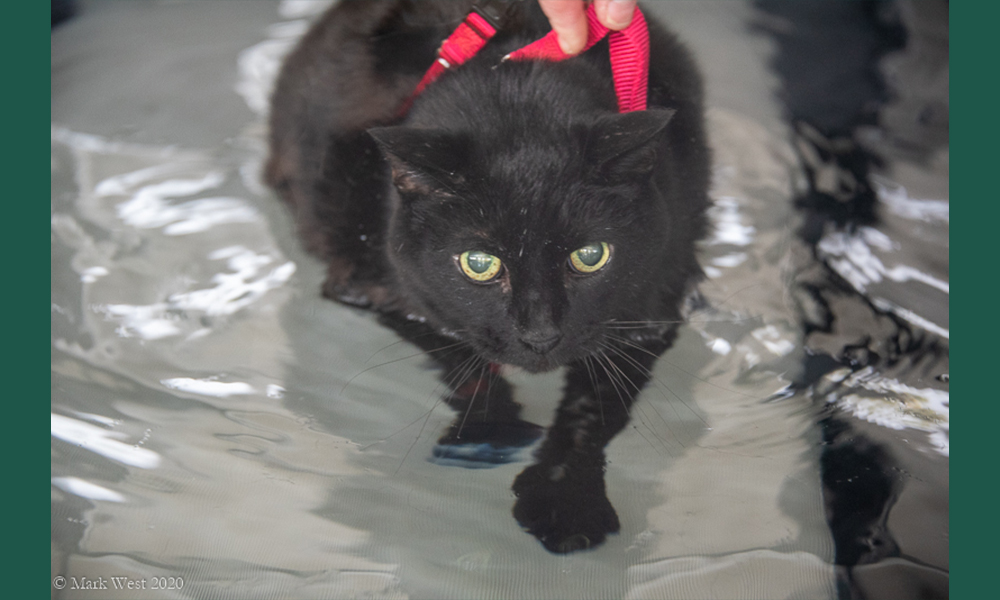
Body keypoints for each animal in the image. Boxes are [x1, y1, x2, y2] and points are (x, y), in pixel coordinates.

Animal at [262, 0, 708, 552]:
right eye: (479, 263)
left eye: (590, 256)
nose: (540, 335)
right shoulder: (372, 287)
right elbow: (459, 355)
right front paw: (490, 437)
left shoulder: (654, 308)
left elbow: (593, 411)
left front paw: (566, 505)